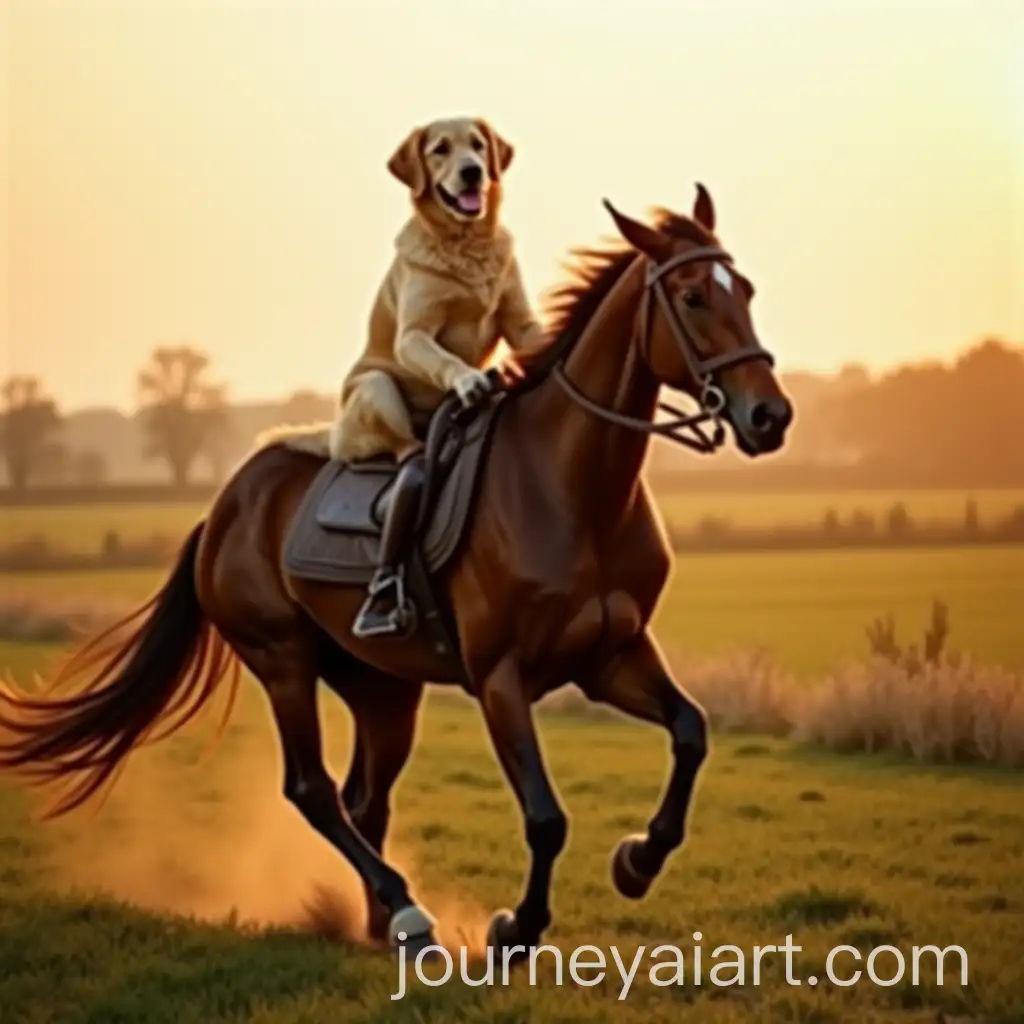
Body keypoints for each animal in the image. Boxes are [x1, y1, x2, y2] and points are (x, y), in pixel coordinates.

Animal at [0, 184, 793, 961]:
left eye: (748, 290)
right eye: (693, 296)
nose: (771, 416)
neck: (574, 488)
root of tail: (224, 508)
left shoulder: (612, 656)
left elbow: (691, 731)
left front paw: (636, 861)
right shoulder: (501, 677)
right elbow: (545, 817)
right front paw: (517, 928)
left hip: (384, 688)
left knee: (364, 799)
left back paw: (384, 928)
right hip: (283, 661)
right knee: (315, 791)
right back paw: (408, 914)